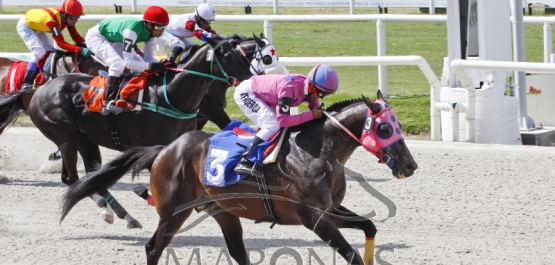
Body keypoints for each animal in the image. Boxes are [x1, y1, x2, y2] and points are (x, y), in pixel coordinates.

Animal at [1, 34, 252, 225]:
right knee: (71, 178)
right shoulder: (153, 147)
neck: (171, 96)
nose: (251, 78)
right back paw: (105, 207)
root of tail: (37, 91)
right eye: (227, 56)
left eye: (241, 55)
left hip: (86, 140)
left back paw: (123, 215)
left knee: (92, 177)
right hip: (65, 136)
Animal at [60, 89, 416, 262]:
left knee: (238, 253)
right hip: (174, 212)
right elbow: (351, 255)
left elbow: (369, 226)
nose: (410, 166)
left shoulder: (330, 210)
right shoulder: (313, 217)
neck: (319, 152)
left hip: (224, 212)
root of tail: (164, 150)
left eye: (396, 124)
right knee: (152, 248)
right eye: (386, 128)